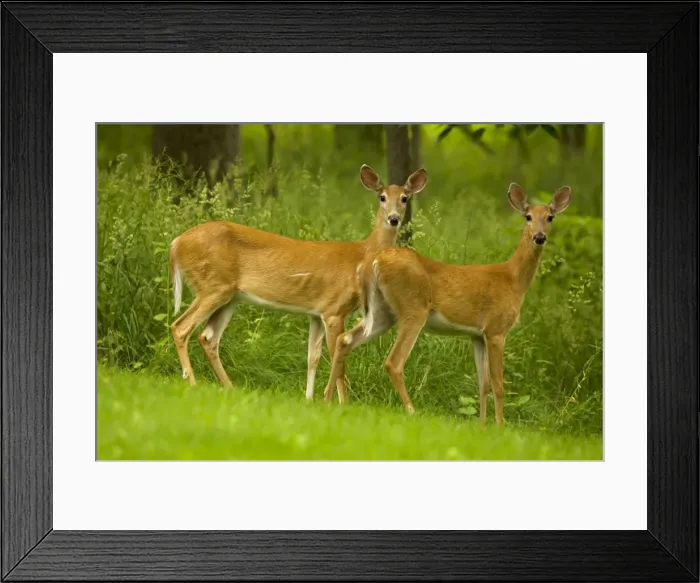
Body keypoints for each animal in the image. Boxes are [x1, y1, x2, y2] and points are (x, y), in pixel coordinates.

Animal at [168, 164, 429, 400]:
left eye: (404, 198)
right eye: (382, 197)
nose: (394, 219)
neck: (362, 256)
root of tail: (176, 243)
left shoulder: (317, 312)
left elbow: (312, 357)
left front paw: (310, 399)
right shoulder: (335, 309)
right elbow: (338, 358)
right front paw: (341, 403)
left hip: (229, 296)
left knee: (208, 338)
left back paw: (229, 387)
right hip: (212, 286)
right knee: (180, 327)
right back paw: (192, 381)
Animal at [322, 182, 572, 425]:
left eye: (550, 217)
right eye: (527, 216)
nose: (539, 237)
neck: (513, 280)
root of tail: (373, 261)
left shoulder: (476, 335)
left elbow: (483, 384)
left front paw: (482, 426)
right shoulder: (496, 329)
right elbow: (498, 384)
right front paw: (501, 426)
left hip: (382, 312)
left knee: (344, 339)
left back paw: (328, 399)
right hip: (414, 308)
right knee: (393, 362)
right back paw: (412, 411)